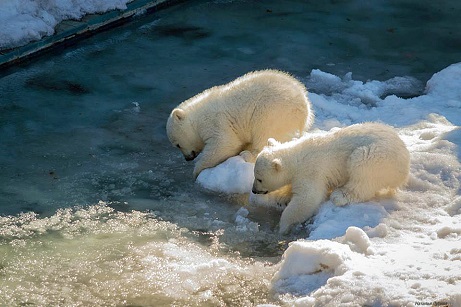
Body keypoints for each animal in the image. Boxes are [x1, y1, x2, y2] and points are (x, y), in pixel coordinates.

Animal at [165, 70, 312, 178]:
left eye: (177, 144)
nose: (187, 158)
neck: (197, 118)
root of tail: (304, 107)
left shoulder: (216, 122)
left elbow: (225, 144)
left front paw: (197, 170)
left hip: (273, 110)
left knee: (264, 132)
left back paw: (248, 154)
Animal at [252, 122, 410, 233]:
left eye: (259, 179)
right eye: (255, 176)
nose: (254, 190)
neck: (297, 156)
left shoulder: (311, 171)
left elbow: (308, 198)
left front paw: (283, 226)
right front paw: (282, 197)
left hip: (379, 157)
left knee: (361, 170)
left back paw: (340, 196)